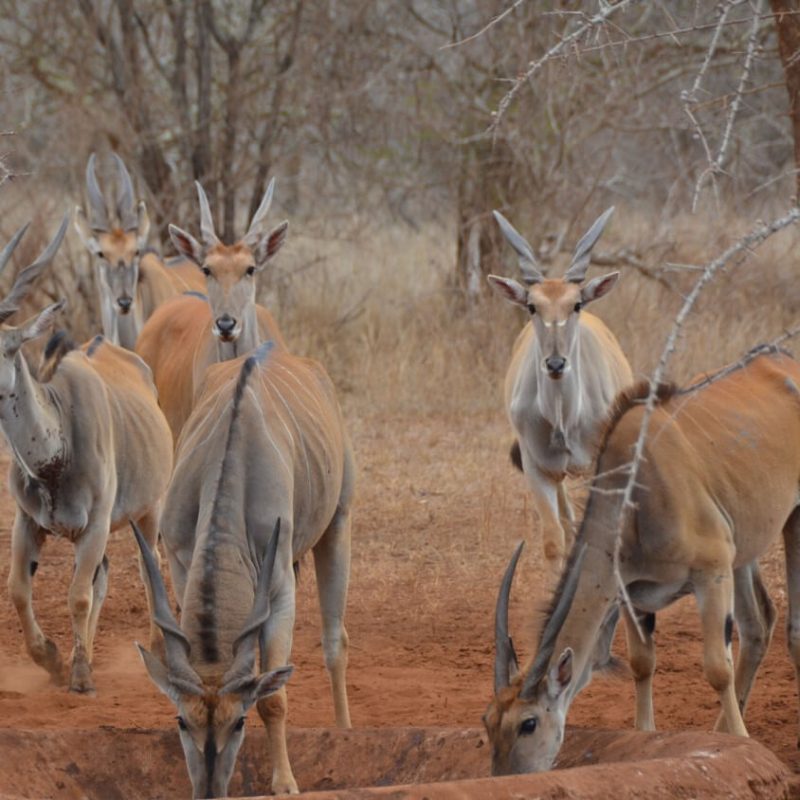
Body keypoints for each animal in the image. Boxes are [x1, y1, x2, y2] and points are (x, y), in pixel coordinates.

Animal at [1, 216, 173, 693]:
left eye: (2, 348)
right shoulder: (27, 522)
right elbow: (18, 589)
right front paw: (54, 660)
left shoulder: (95, 524)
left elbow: (77, 594)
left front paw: (79, 675)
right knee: (106, 574)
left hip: (150, 509)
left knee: (150, 567)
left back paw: (159, 651)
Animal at [139, 339, 354, 796]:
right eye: (182, 721)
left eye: (238, 723)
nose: (208, 791)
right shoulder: (181, 565)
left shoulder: (280, 587)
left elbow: (272, 697)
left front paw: (285, 783)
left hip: (339, 523)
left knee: (335, 641)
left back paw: (345, 730)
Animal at [485, 348, 800, 775]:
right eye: (488, 720)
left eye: (528, 723)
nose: (503, 776)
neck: (635, 495)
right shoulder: (631, 594)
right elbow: (642, 663)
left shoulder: (711, 572)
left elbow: (717, 669)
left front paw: (739, 741)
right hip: (745, 551)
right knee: (758, 625)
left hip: (790, 523)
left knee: (790, 630)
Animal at [487, 208, 632, 575]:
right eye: (532, 307)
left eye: (576, 304)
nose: (555, 363)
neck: (563, 421)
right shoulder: (536, 466)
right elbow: (554, 540)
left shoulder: (598, 465)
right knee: (567, 522)